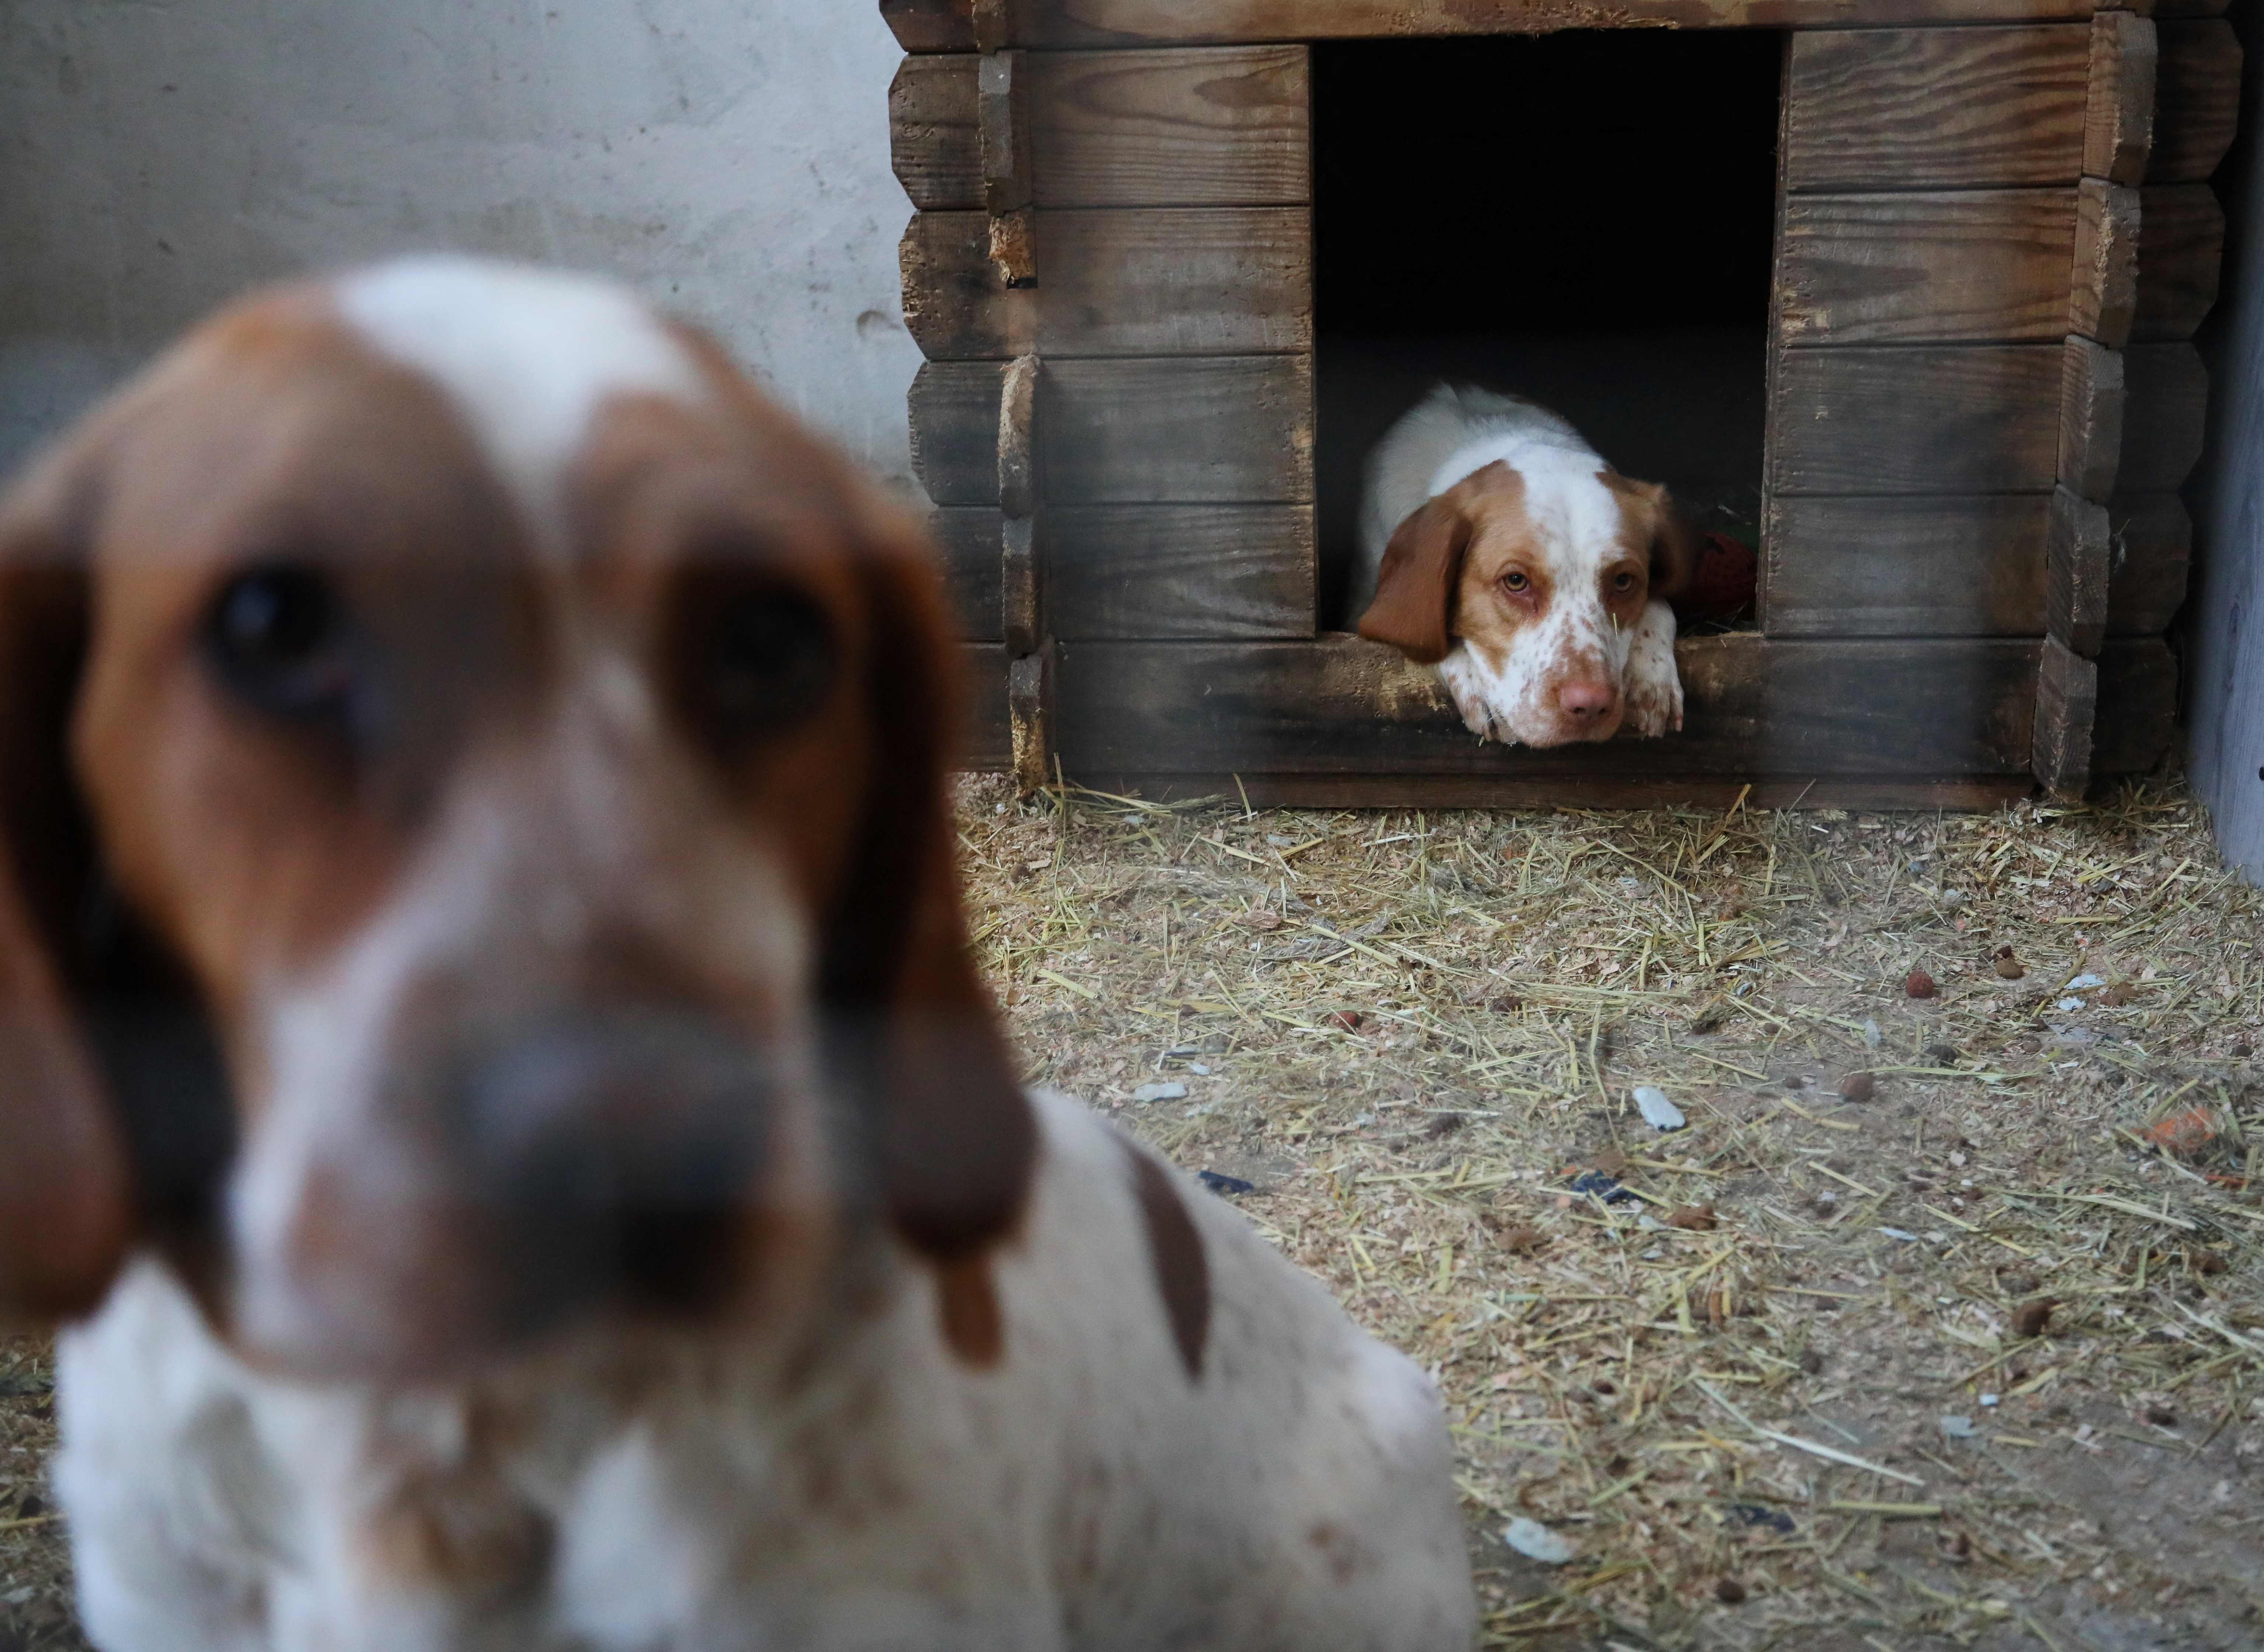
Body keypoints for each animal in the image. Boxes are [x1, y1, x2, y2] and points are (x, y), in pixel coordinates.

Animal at [1349, 382, 1720, 742]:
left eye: (1624, 581)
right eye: (1516, 581)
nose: (1590, 706)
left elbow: (1660, 605)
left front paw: (1651, 675)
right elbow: (1425, 633)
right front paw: (1474, 679)